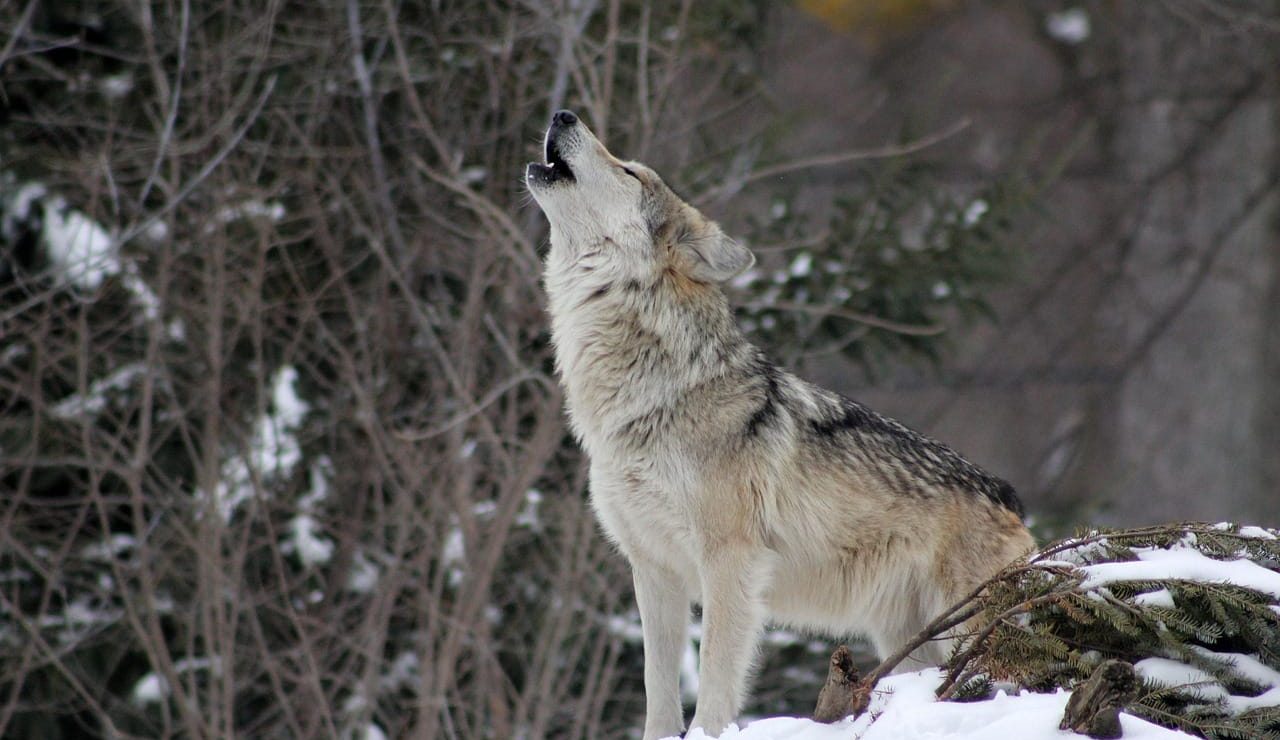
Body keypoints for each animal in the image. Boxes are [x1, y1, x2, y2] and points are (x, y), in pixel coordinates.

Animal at [526, 110, 1035, 739]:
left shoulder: (730, 563)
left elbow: (715, 682)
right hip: (908, 642)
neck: (649, 397)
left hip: (966, 629)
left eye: (629, 171)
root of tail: (1010, 497)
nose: (562, 114)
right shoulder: (653, 571)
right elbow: (657, 692)